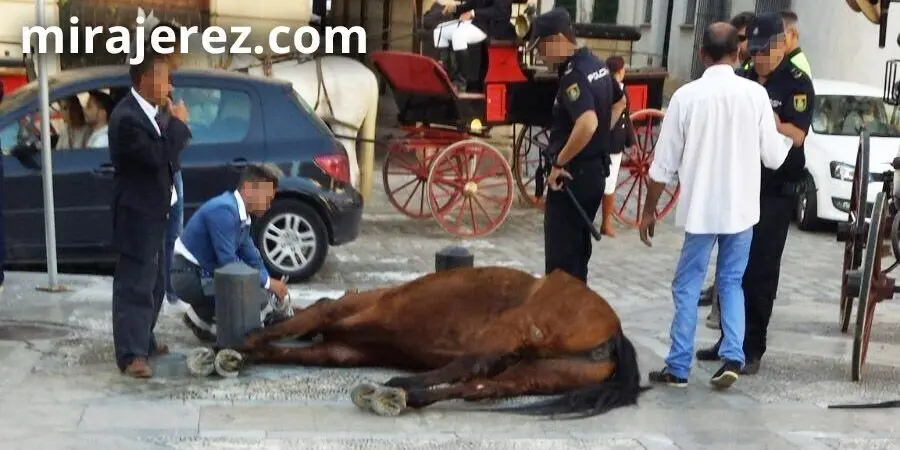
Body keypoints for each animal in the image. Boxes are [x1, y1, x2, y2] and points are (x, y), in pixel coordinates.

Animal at [232, 266, 649, 418]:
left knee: (471, 365)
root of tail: (614, 332)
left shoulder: (338, 312)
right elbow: (296, 350)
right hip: (543, 371)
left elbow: (302, 319)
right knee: (481, 385)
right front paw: (246, 353)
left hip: (515, 327)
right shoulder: (342, 351)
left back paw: (397, 385)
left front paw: (236, 345)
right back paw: (409, 395)